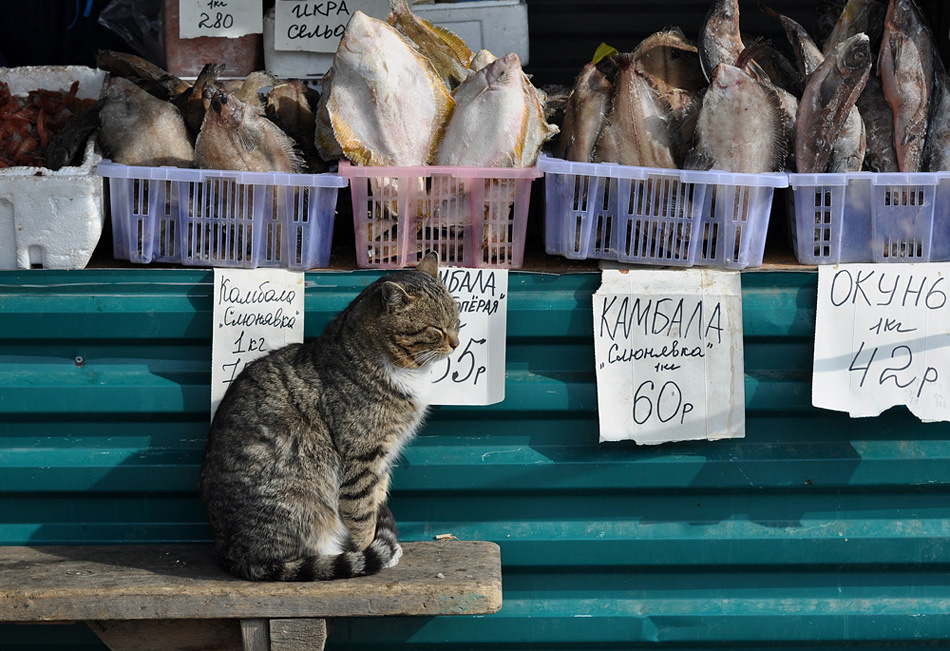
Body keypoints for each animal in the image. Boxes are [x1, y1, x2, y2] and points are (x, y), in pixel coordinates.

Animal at [201, 253, 462, 580]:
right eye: (436, 329)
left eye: (457, 321)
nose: (456, 343)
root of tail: (234, 556)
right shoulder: (362, 457)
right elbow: (362, 513)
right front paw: (370, 550)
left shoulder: (382, 459)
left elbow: (377, 499)